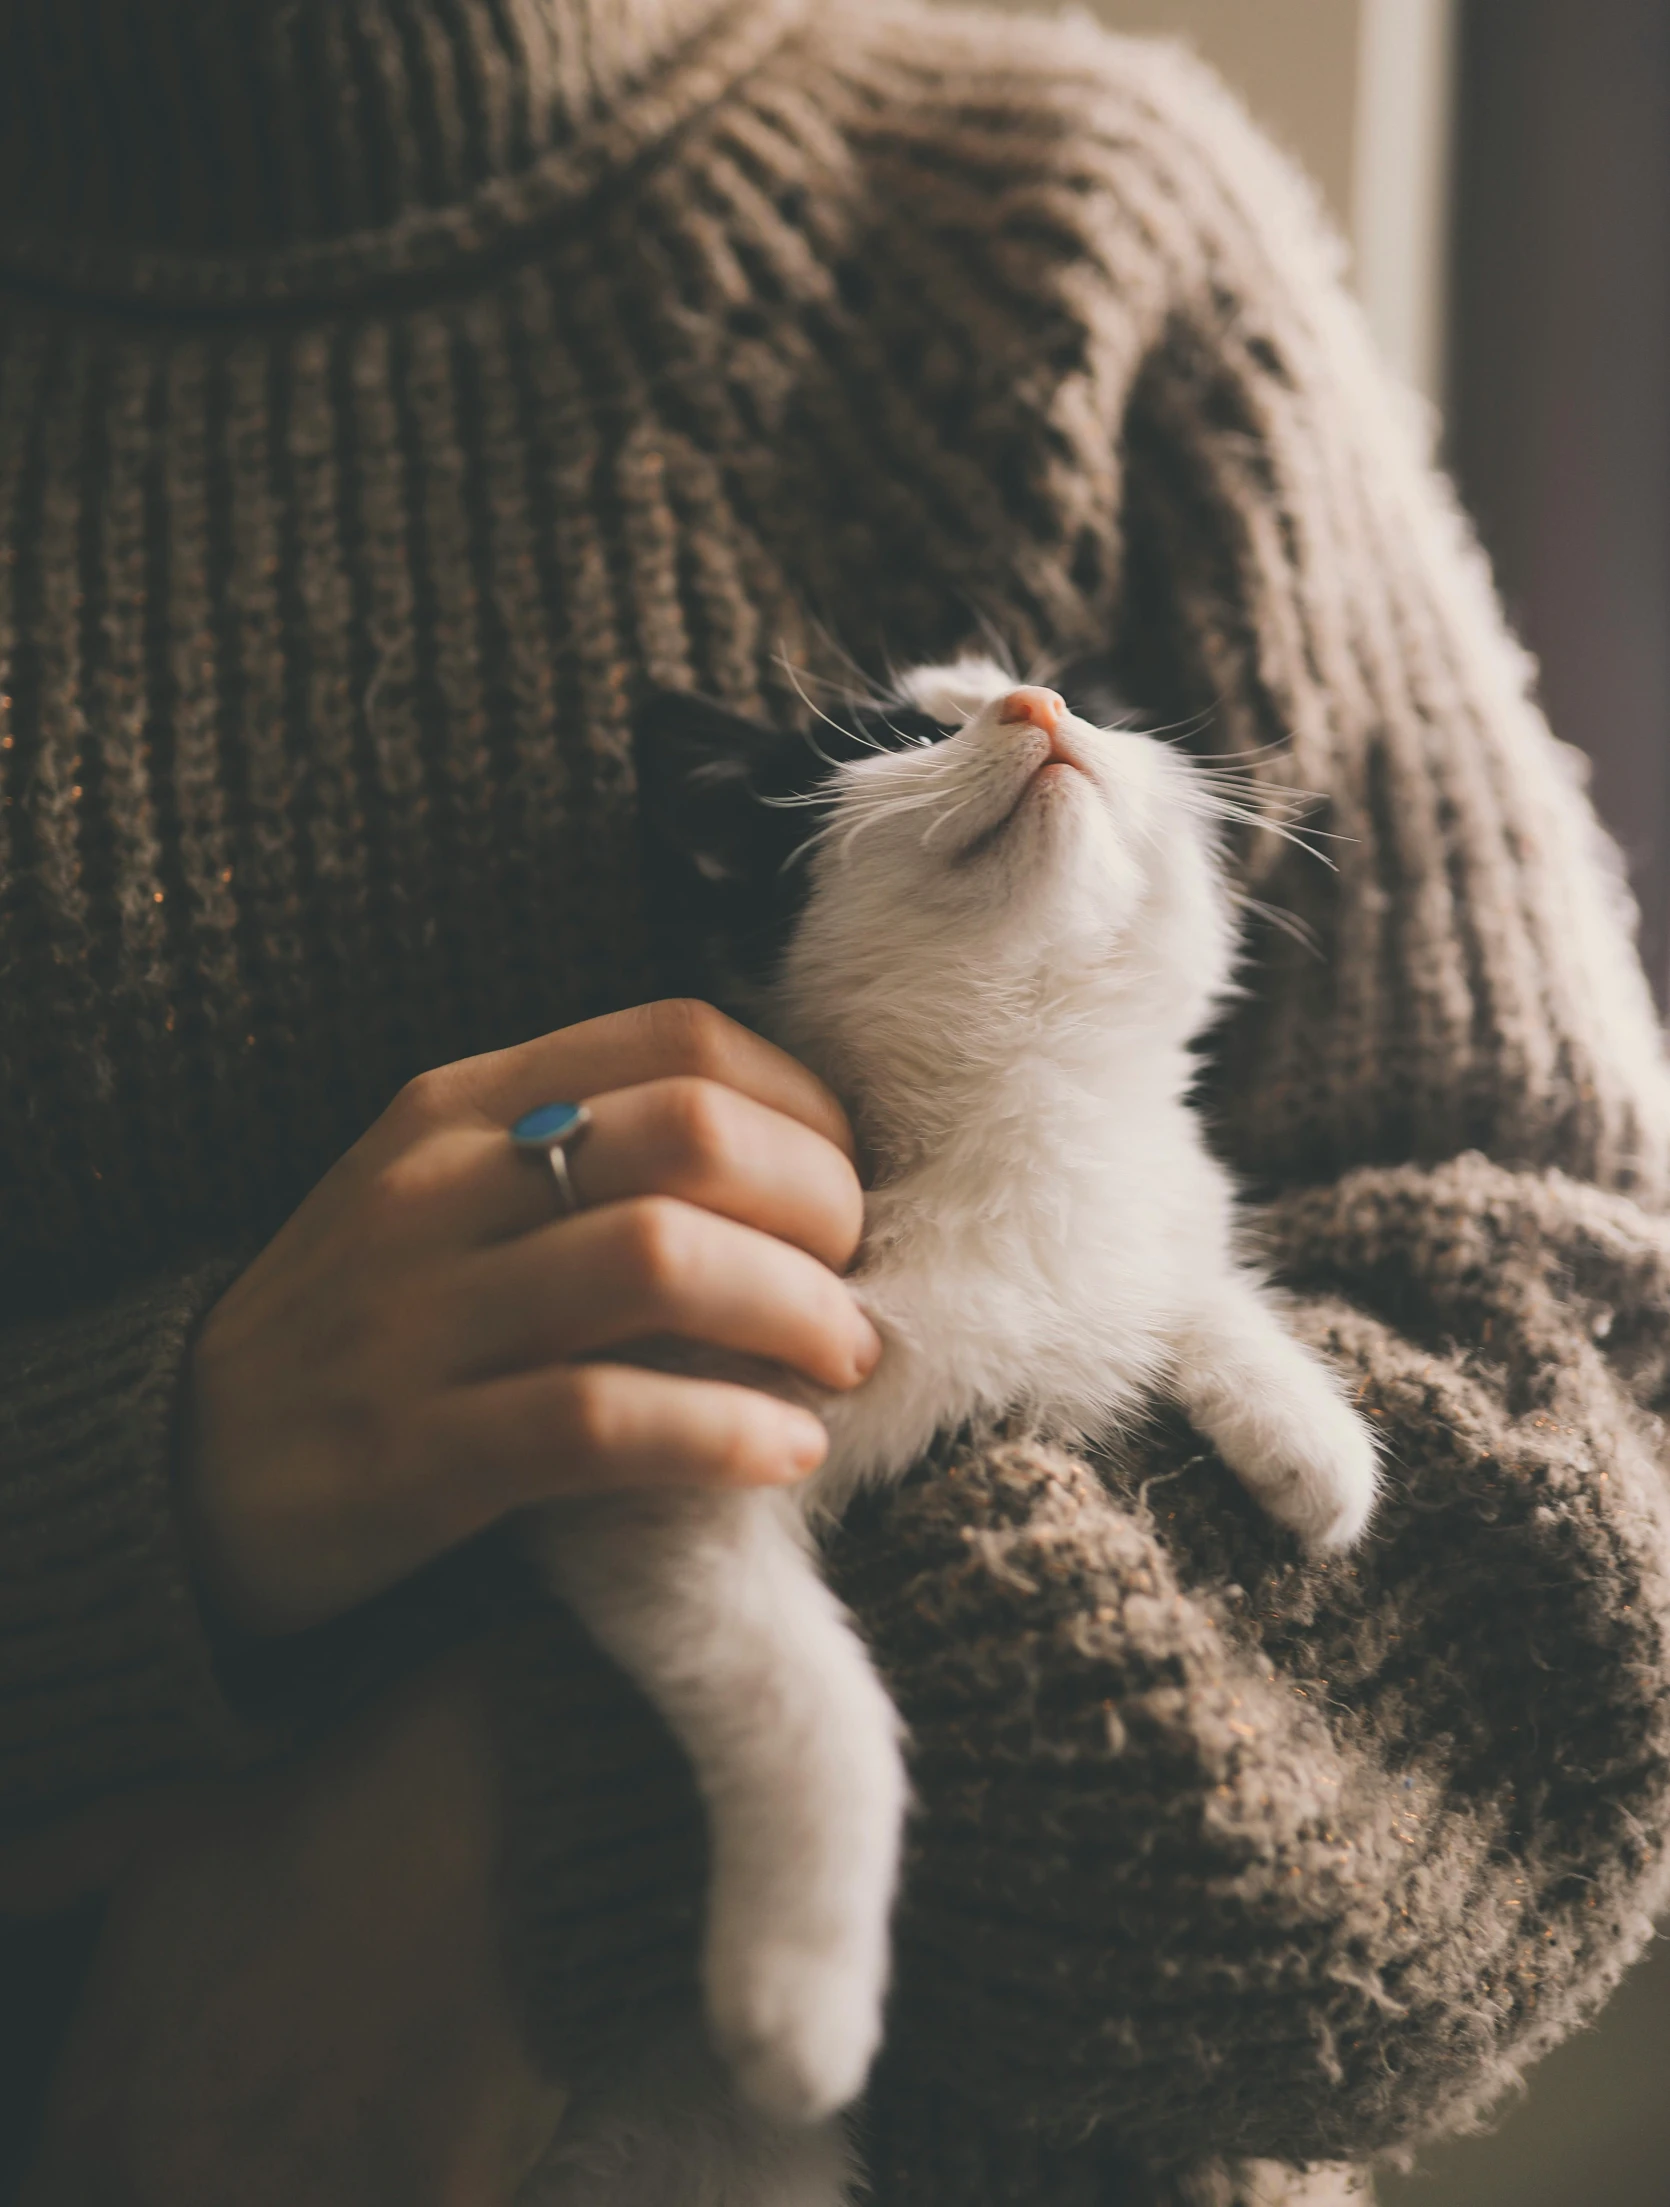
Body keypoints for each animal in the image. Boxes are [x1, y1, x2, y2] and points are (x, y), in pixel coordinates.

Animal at [527, 657, 1376, 2207]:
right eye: (896, 734)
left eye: (1093, 708)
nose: (1035, 704)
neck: (1017, 1104)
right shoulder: (656, 1442)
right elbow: (809, 1693)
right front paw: (799, 1995)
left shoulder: (1131, 1207)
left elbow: (1179, 1261)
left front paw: (1307, 1435)